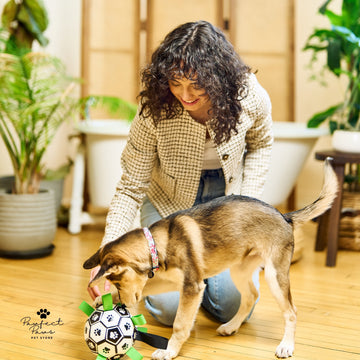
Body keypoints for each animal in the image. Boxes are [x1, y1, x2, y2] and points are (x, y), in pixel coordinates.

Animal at [83, 160, 338, 360]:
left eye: (117, 280)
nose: (123, 308)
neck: (158, 243)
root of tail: (285, 216)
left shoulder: (192, 287)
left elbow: (180, 324)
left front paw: (169, 351)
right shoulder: (169, 282)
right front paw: (101, 300)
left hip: (275, 276)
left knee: (291, 311)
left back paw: (286, 346)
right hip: (240, 269)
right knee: (251, 296)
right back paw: (231, 327)